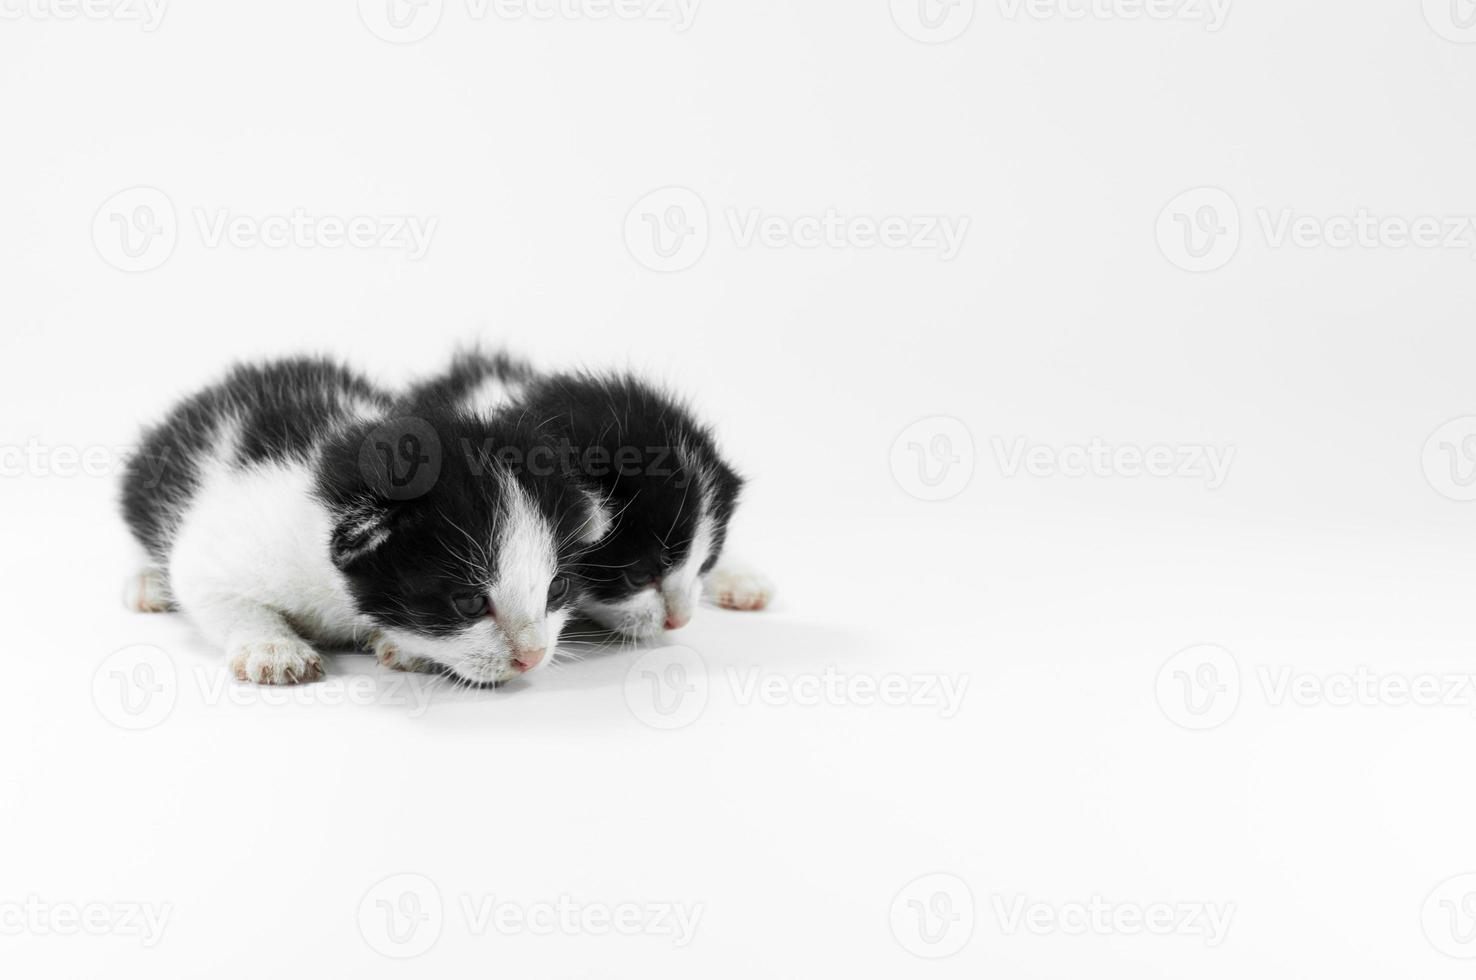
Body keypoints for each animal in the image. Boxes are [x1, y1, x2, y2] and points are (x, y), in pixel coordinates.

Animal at [121, 355, 611, 684]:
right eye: (470, 603)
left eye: (557, 588)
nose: (533, 657)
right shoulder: (223, 546)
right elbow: (218, 595)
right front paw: (274, 649)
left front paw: (399, 646)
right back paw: (149, 584)